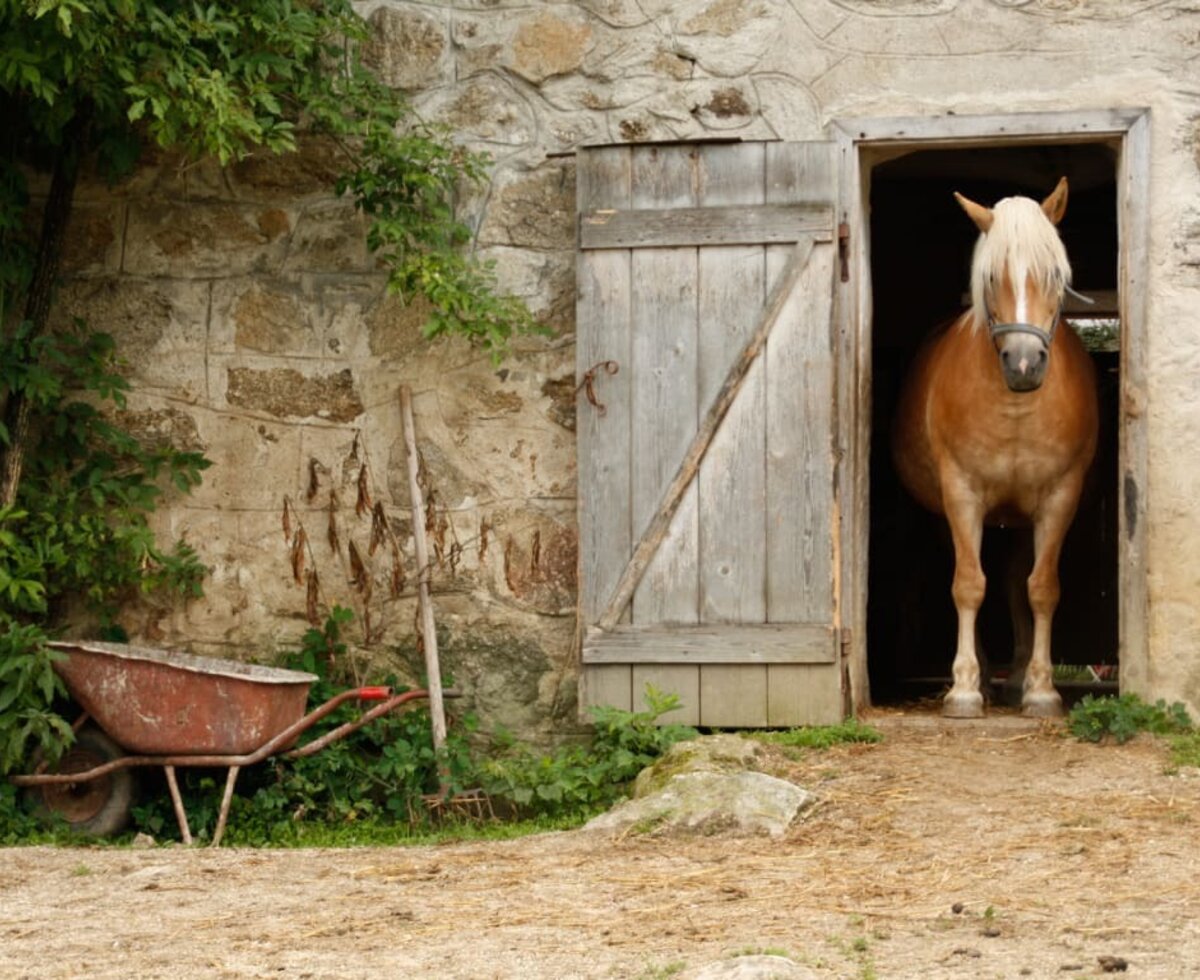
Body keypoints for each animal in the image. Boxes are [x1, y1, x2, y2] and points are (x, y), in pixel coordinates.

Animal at [892, 179, 1099, 719]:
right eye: (989, 278)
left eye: (1055, 274)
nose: (1023, 363)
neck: (1015, 410)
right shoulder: (962, 495)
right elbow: (969, 585)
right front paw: (964, 687)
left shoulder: (1059, 498)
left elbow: (1041, 589)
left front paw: (1042, 689)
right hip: (950, 516)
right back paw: (986, 677)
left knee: (1016, 581)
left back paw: (1018, 677)